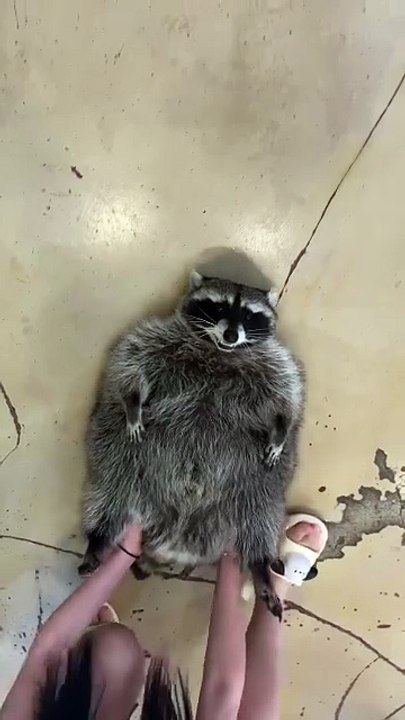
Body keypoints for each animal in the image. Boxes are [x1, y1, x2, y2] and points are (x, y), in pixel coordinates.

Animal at [79, 272, 305, 618]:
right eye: (219, 307)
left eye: (249, 315)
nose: (231, 333)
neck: (220, 351)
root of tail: (178, 537)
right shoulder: (159, 339)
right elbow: (129, 362)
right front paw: (133, 403)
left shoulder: (273, 361)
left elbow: (286, 396)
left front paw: (280, 429)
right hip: (118, 444)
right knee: (111, 484)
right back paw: (99, 536)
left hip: (258, 477)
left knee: (261, 514)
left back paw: (259, 564)